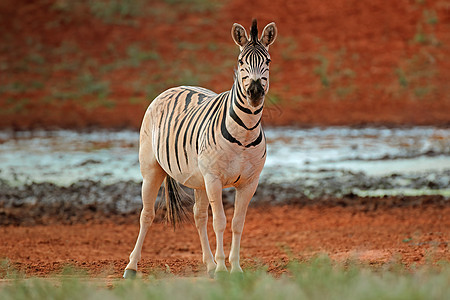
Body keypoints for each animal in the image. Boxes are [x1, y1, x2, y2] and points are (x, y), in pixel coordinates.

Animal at [124, 19, 278, 278]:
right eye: (241, 62)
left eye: (267, 61)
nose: (255, 92)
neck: (245, 132)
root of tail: (174, 87)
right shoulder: (214, 178)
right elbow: (220, 222)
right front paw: (223, 268)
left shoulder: (249, 182)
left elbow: (237, 223)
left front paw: (234, 268)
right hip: (152, 169)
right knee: (147, 215)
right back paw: (131, 267)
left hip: (199, 179)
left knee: (199, 216)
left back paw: (209, 264)